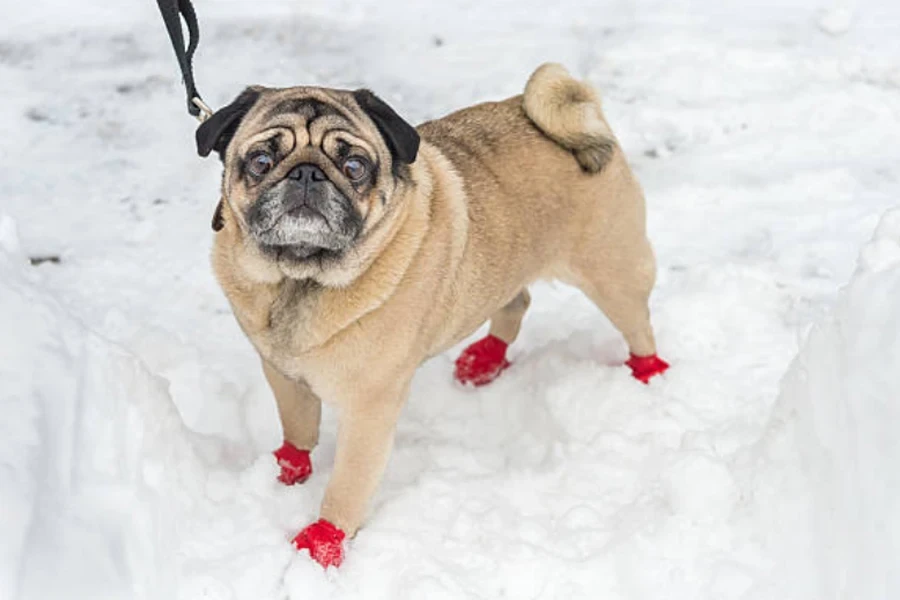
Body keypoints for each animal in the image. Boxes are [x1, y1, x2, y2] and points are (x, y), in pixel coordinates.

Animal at [199, 64, 668, 568]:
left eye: (354, 167)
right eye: (261, 161)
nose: (306, 173)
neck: (299, 279)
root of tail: (583, 121)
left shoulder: (369, 411)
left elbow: (347, 486)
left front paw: (322, 545)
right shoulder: (285, 376)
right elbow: (299, 433)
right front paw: (285, 474)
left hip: (612, 271)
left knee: (638, 326)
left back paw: (648, 374)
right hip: (502, 270)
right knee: (516, 302)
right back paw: (485, 361)